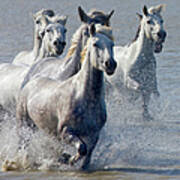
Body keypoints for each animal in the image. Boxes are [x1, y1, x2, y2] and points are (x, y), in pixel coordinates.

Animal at [16, 23, 116, 170]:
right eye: (95, 44)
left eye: (112, 44)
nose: (110, 64)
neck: (84, 97)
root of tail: (31, 80)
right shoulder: (65, 131)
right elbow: (82, 148)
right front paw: (68, 159)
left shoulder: (94, 134)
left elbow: (87, 154)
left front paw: (69, 160)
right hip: (24, 124)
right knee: (22, 144)